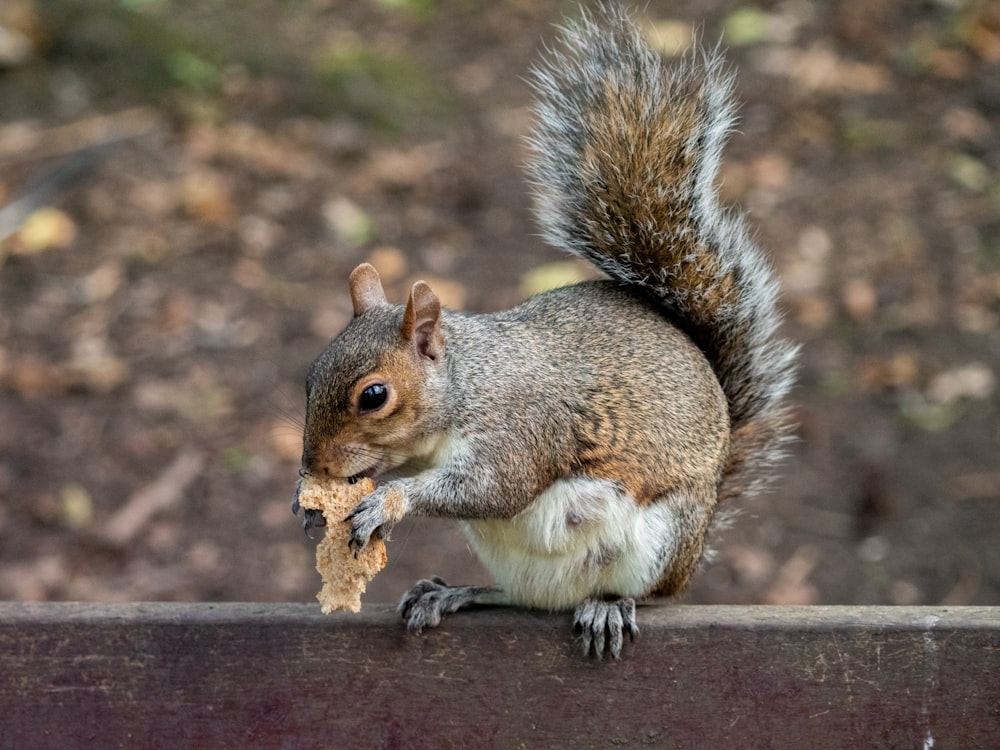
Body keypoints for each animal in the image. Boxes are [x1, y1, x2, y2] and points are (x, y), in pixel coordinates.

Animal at [292, 1, 796, 656]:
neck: (469, 384)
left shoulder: (523, 429)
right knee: (522, 597)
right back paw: (451, 594)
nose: (316, 466)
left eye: (374, 396)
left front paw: (384, 502)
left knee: (645, 595)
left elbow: (493, 489)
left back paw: (609, 607)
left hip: (661, 541)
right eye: (310, 376)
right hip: (514, 561)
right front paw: (311, 501)